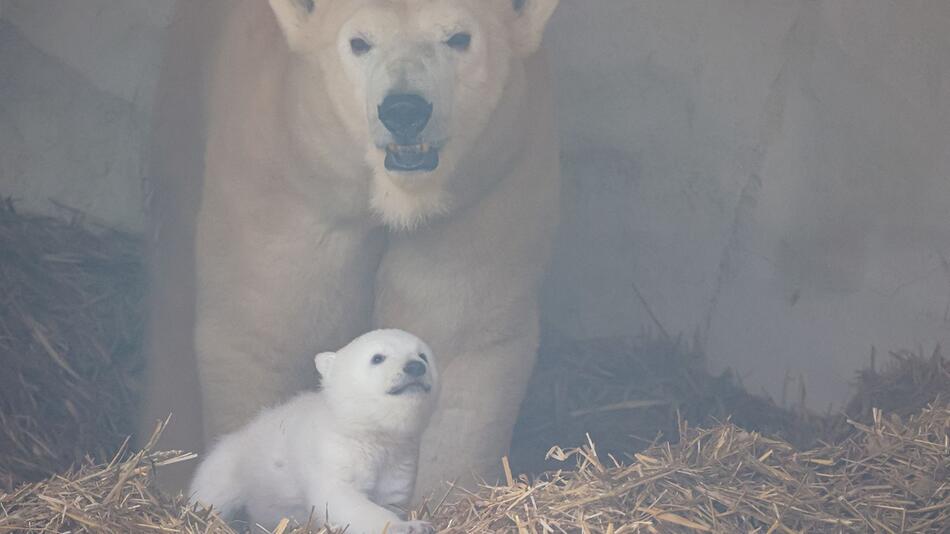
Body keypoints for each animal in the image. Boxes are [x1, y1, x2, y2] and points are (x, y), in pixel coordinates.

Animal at [140, 0, 556, 502]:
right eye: (359, 42)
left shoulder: (482, 194)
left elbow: (456, 336)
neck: (398, 201)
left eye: (458, 37)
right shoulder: (283, 179)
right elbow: (266, 331)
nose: (403, 109)